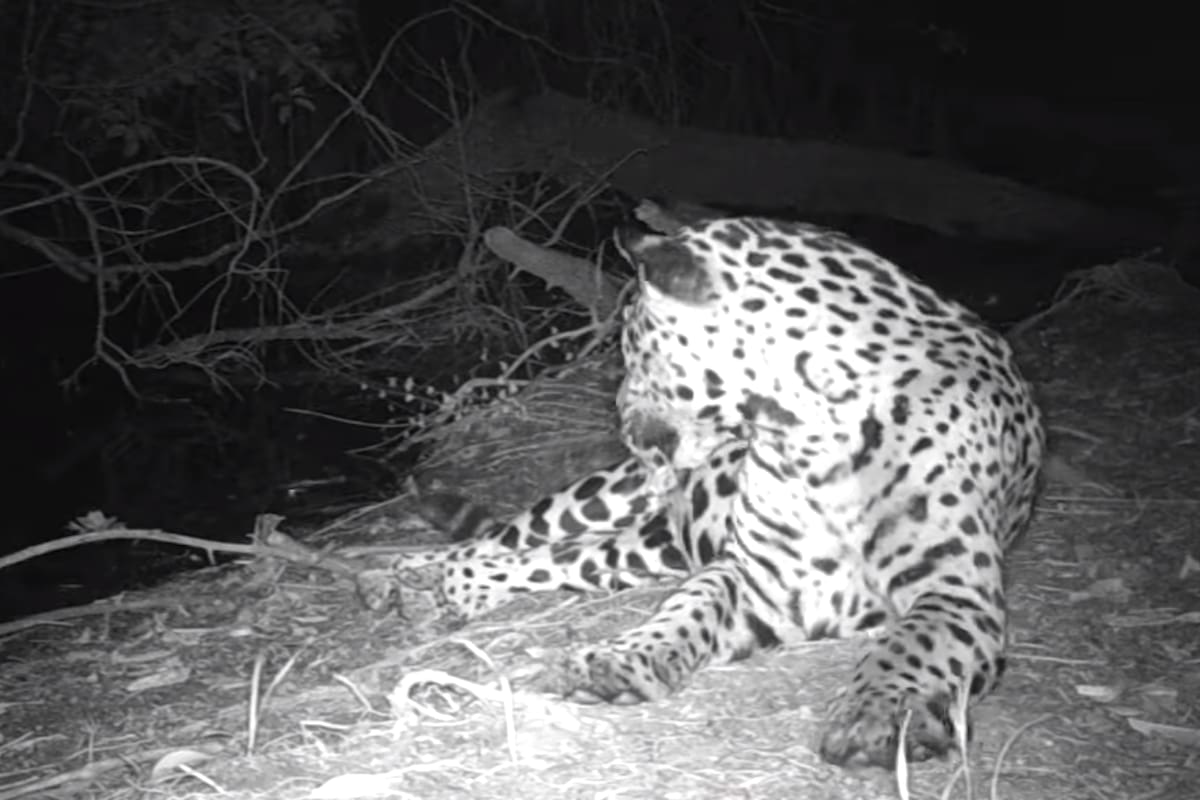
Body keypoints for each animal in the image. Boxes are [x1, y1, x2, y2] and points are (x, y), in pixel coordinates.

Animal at [361, 213, 1045, 769]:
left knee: (559, 561)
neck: (810, 432)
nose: (620, 414)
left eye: (633, 344)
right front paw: (622, 659)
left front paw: (876, 716)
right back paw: (407, 578)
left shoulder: (958, 591)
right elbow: (694, 603)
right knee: (512, 537)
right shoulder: (762, 575)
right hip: (610, 494)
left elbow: (911, 644)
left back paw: (444, 590)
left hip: (643, 549)